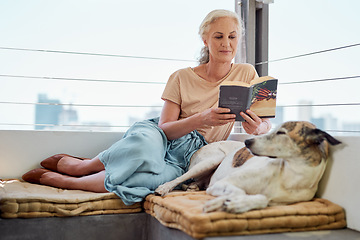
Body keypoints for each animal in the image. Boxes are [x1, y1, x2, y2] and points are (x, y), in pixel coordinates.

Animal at [155, 122, 340, 214]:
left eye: (281, 133)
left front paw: (236, 204)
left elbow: (262, 199)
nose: (247, 141)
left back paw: (194, 186)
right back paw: (164, 188)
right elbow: (239, 192)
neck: (288, 176)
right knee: (180, 178)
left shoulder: (276, 201)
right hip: (213, 159)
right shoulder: (223, 184)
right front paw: (228, 202)